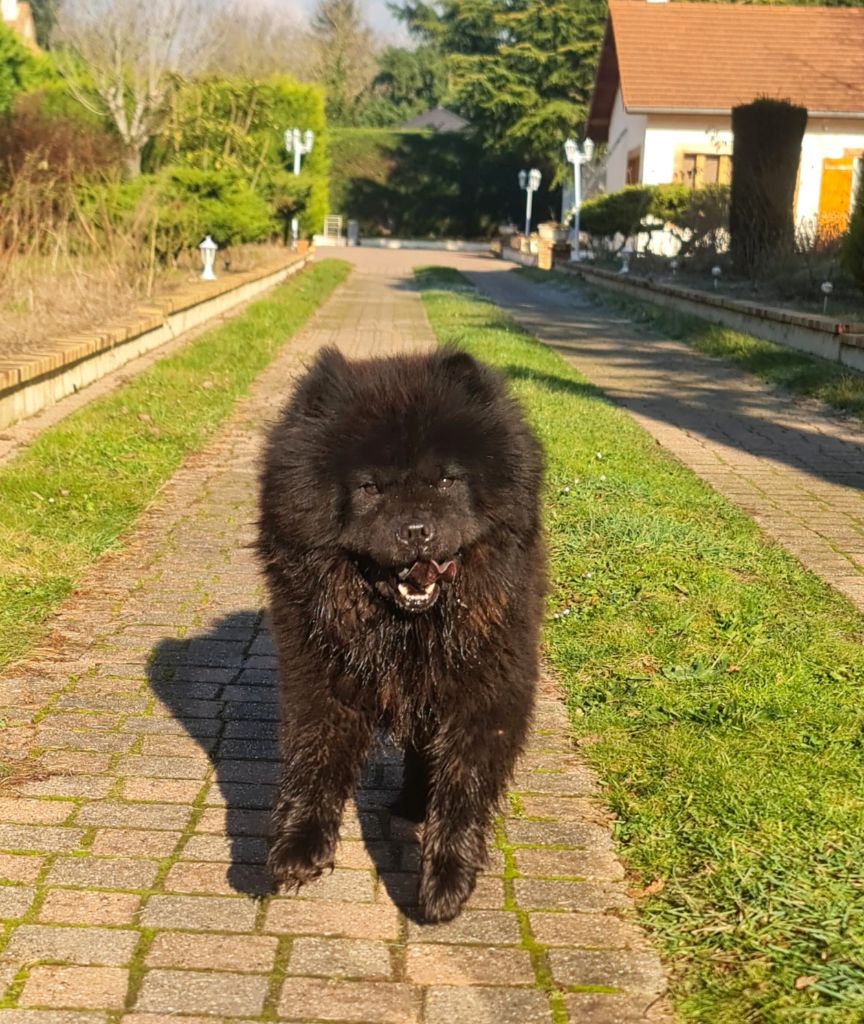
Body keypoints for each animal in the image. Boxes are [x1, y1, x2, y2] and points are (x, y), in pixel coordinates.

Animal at [256, 346, 548, 921]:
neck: (407, 632)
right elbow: (313, 756)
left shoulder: (488, 687)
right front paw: (299, 848)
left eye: (444, 481)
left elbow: (463, 783)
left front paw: (446, 882)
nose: (416, 531)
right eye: (370, 487)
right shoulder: (321, 675)